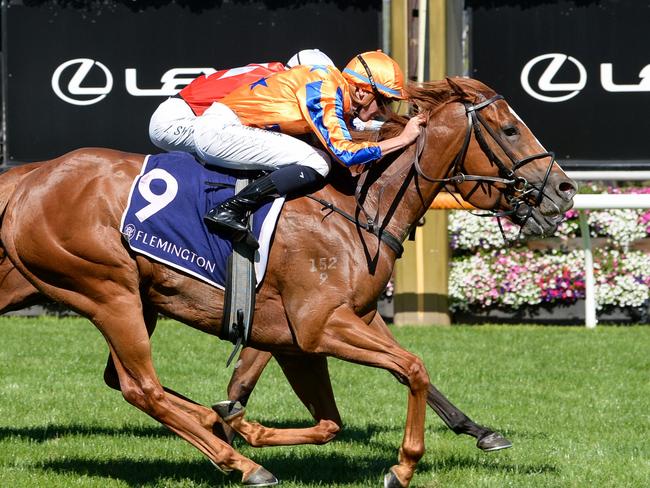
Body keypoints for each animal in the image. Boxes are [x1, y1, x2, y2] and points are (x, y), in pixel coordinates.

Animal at [2, 78, 576, 486]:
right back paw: (243, 464)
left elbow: (339, 416)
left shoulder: (313, 333)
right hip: (108, 290)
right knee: (142, 388)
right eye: (509, 131)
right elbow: (413, 368)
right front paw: (403, 466)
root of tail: (29, 179)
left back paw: (222, 428)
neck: (356, 206)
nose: (563, 191)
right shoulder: (320, 325)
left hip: (131, 299)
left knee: (126, 382)